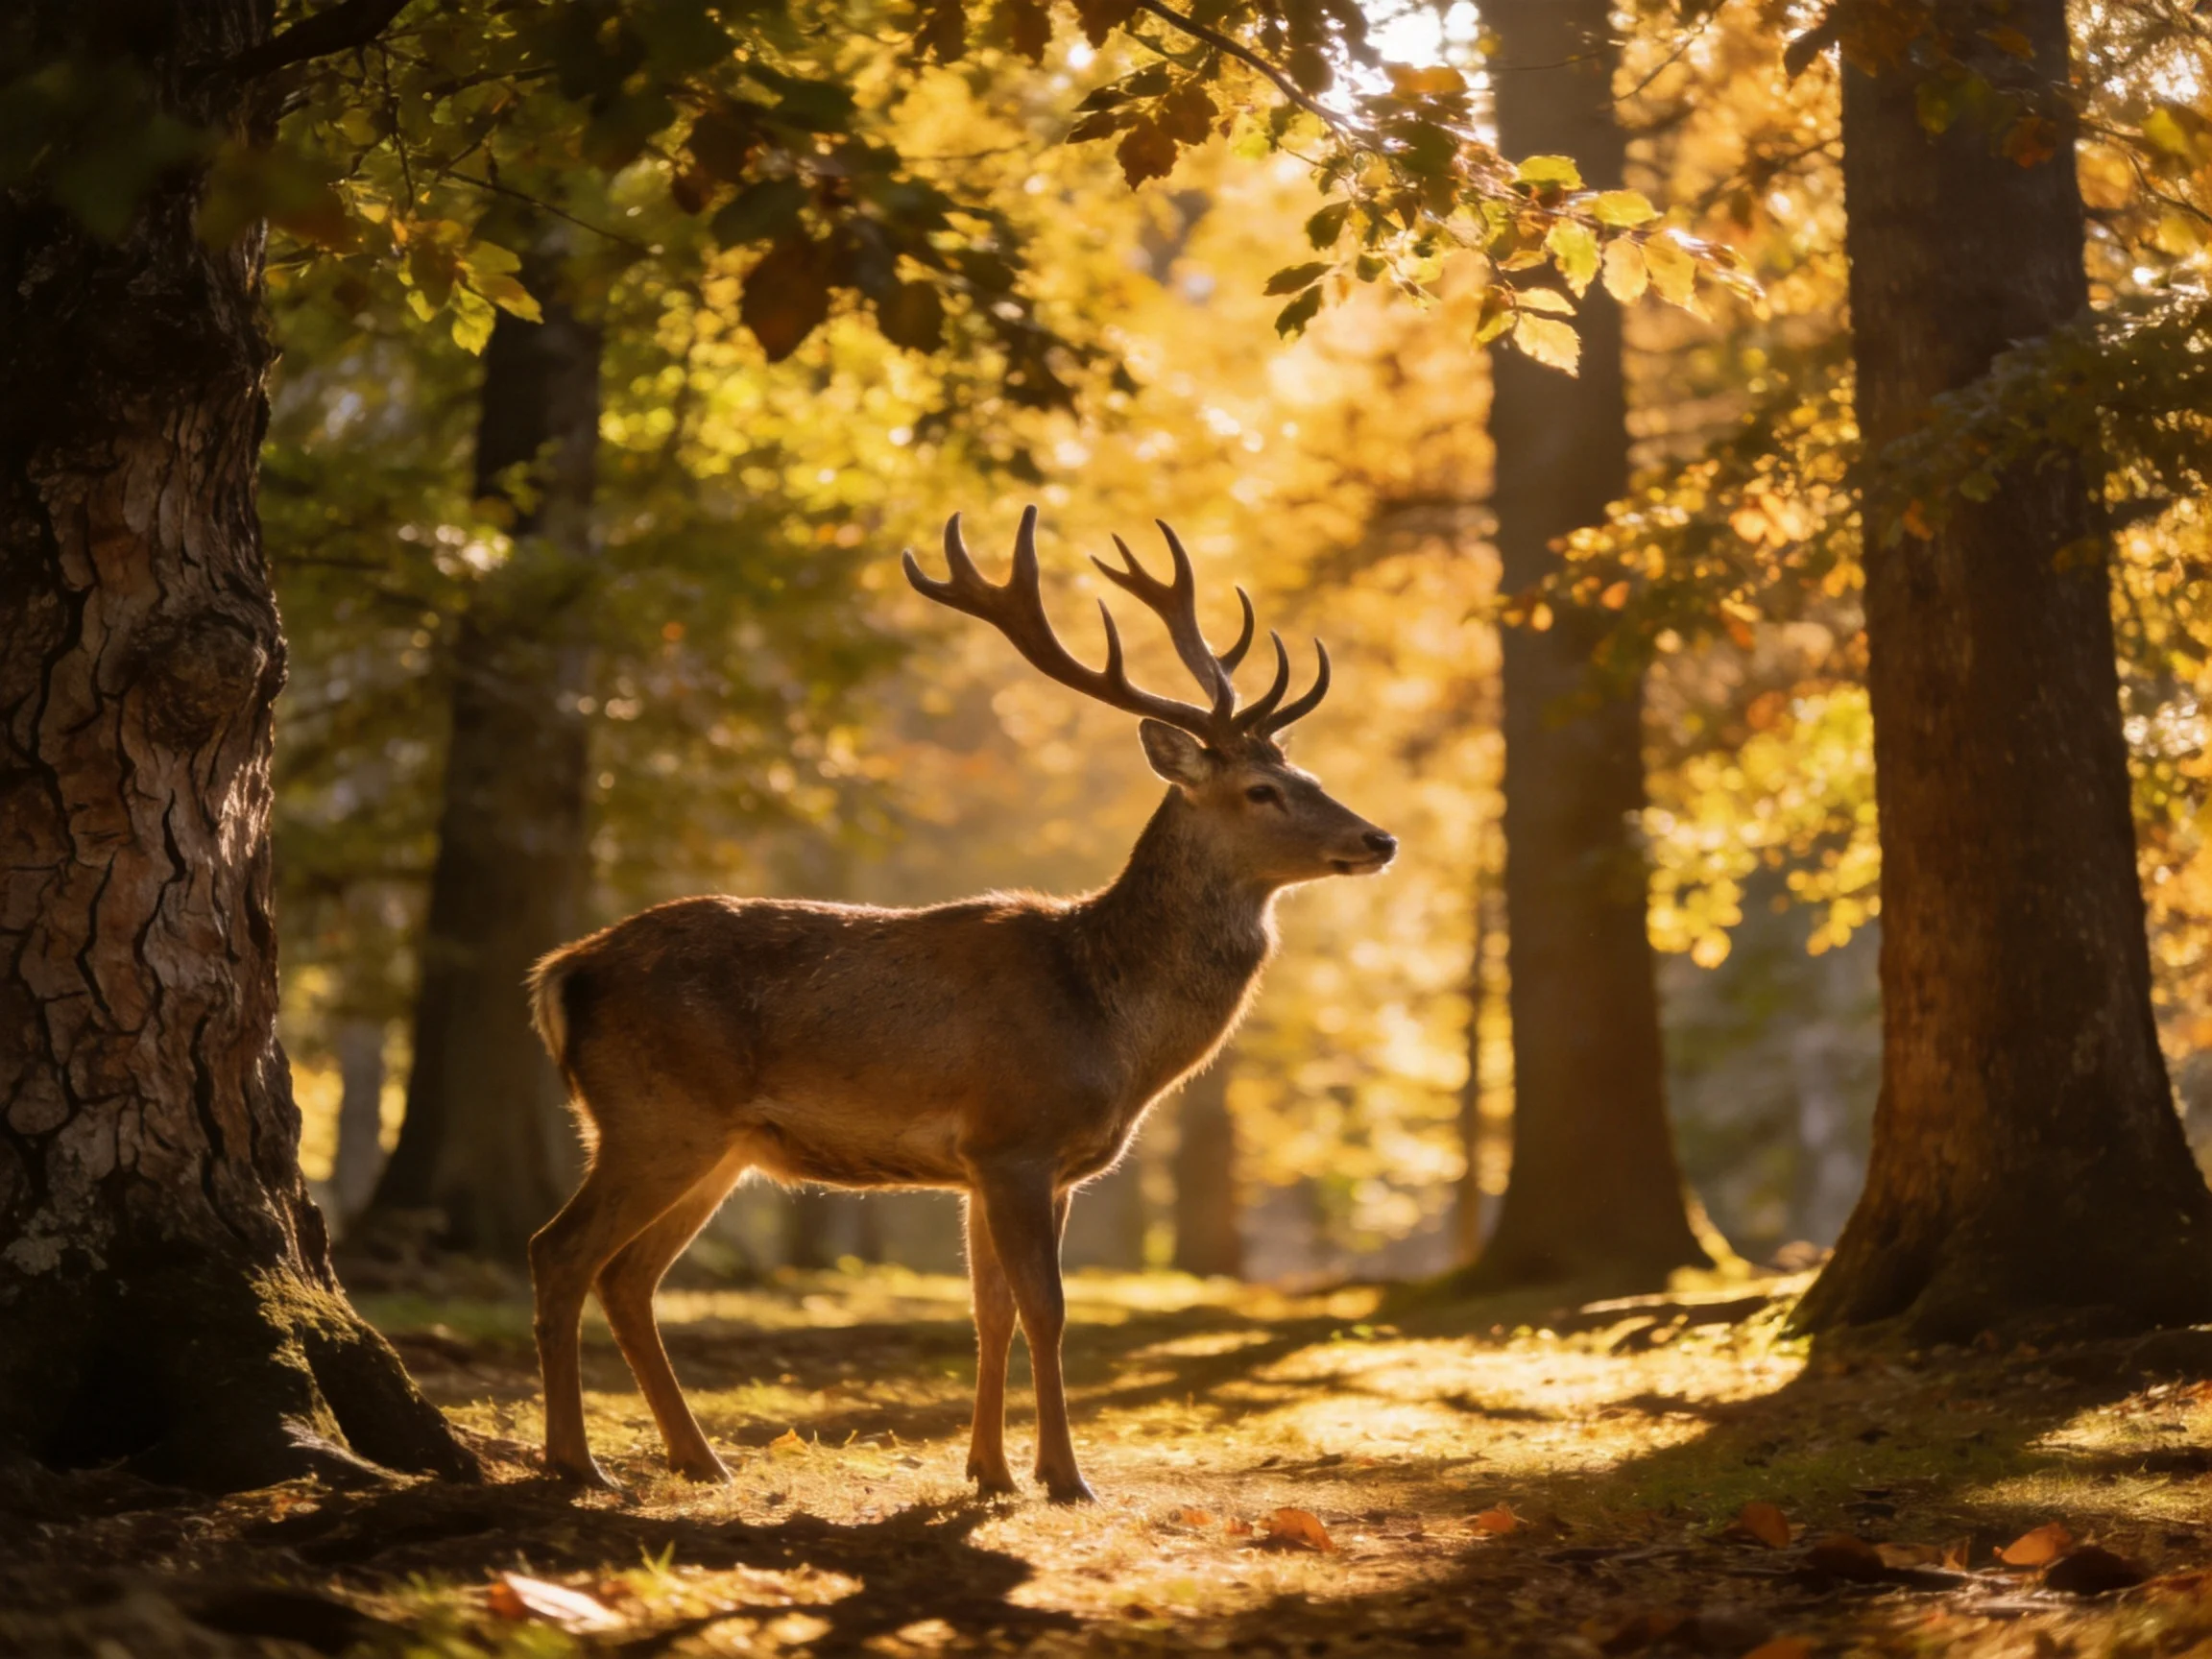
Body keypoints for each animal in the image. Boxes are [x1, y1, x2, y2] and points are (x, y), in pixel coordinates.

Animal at [524, 505, 1396, 1501]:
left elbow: (993, 1313)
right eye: (1262, 790)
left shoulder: (1010, 1165)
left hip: (713, 1144)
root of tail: (561, 973)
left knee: (628, 1277)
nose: (1380, 839)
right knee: (560, 1252)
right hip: (656, 1117)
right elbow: (1047, 1309)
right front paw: (1063, 1476)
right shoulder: (1015, 1138)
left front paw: (989, 1473)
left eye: (1314, 778)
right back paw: (578, 1462)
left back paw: (698, 1459)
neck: (1109, 1022)